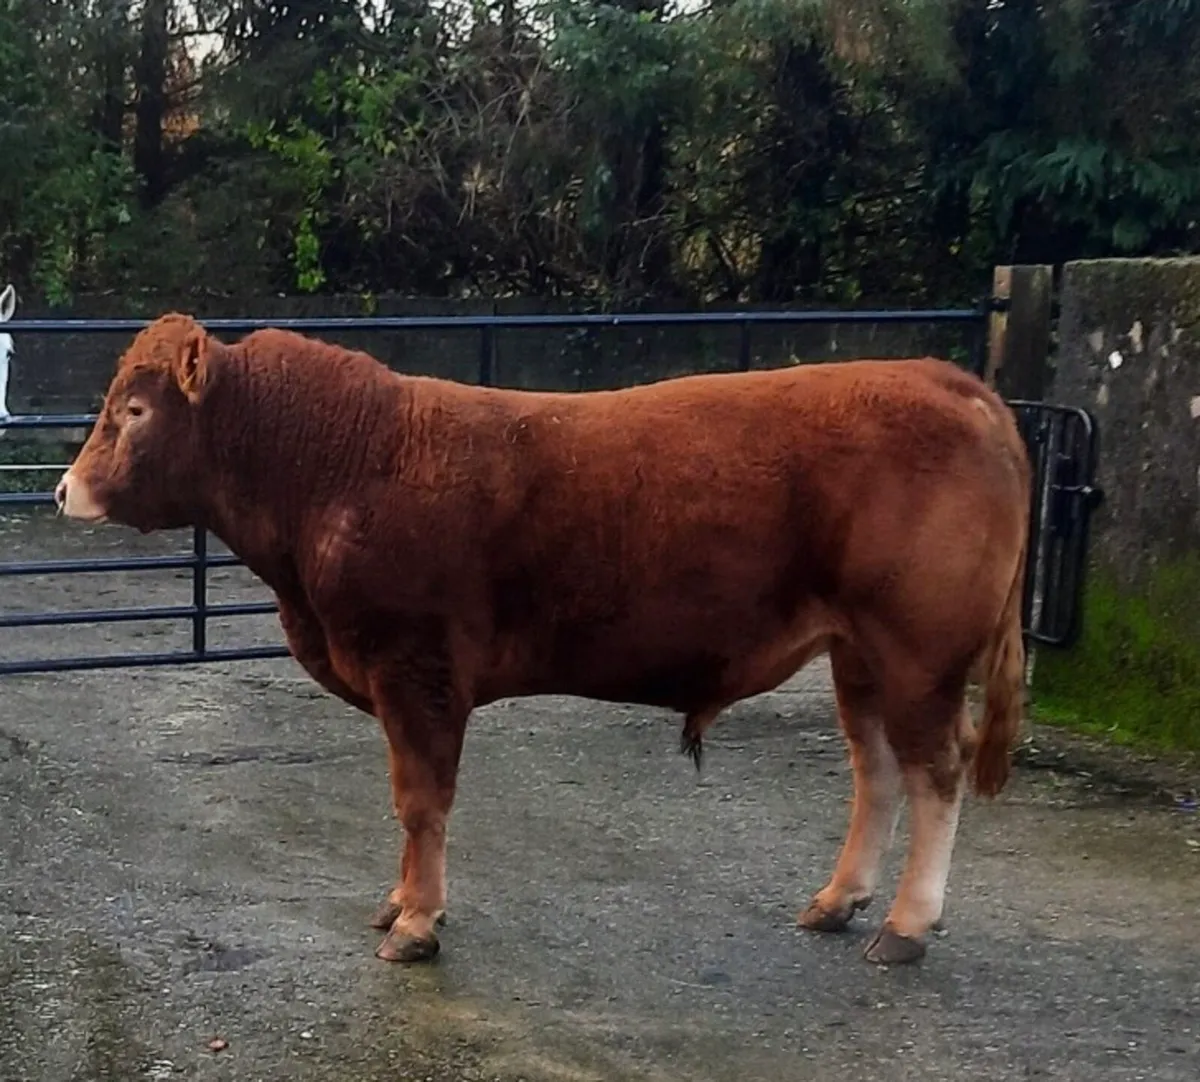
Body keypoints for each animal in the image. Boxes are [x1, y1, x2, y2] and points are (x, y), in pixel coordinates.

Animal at [55, 313, 1031, 969]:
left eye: (133, 410)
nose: (64, 489)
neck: (342, 463)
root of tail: (949, 379)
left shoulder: (417, 670)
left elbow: (421, 801)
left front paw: (417, 922)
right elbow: (410, 805)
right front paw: (401, 904)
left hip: (917, 650)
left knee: (935, 772)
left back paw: (907, 925)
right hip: (857, 653)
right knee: (878, 770)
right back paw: (839, 900)